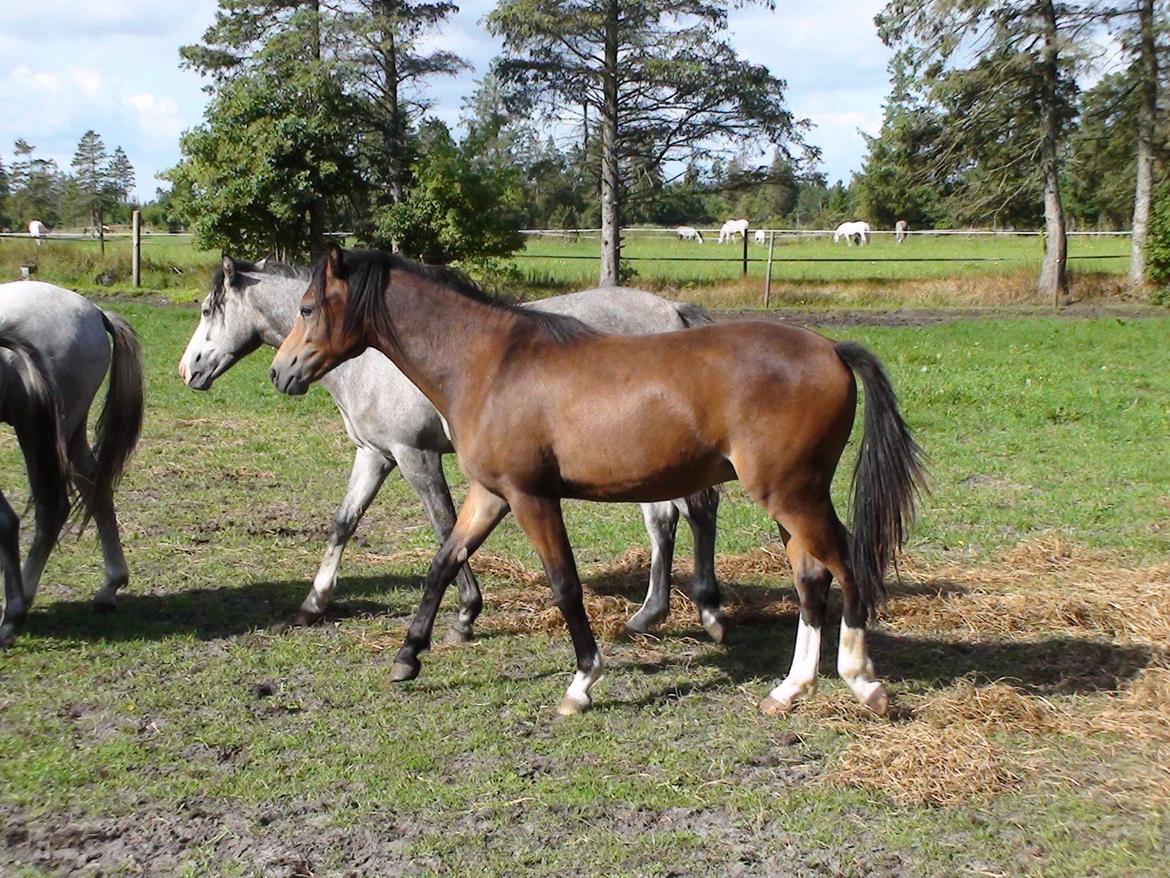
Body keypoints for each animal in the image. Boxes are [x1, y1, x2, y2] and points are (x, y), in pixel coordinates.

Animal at [0, 282, 144, 644]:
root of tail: (94, 311)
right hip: (71, 429)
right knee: (95, 486)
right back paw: (109, 587)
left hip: (42, 431)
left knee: (53, 507)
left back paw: (18, 606)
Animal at [180, 257, 725, 641]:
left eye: (207, 310)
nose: (188, 371)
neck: (373, 356)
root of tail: (673, 312)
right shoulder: (374, 455)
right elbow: (343, 522)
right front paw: (311, 606)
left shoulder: (414, 455)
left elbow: (444, 527)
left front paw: (465, 613)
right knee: (670, 518)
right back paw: (651, 615)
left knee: (686, 513)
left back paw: (691, 609)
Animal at [270, 245, 926, 717]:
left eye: (307, 309)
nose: (280, 372)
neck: (489, 363)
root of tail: (832, 350)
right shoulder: (490, 495)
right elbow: (442, 562)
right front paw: (409, 656)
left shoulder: (532, 498)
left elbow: (565, 585)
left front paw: (582, 681)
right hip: (789, 500)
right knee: (812, 580)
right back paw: (789, 690)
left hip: (792, 495)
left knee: (845, 563)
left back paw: (862, 682)